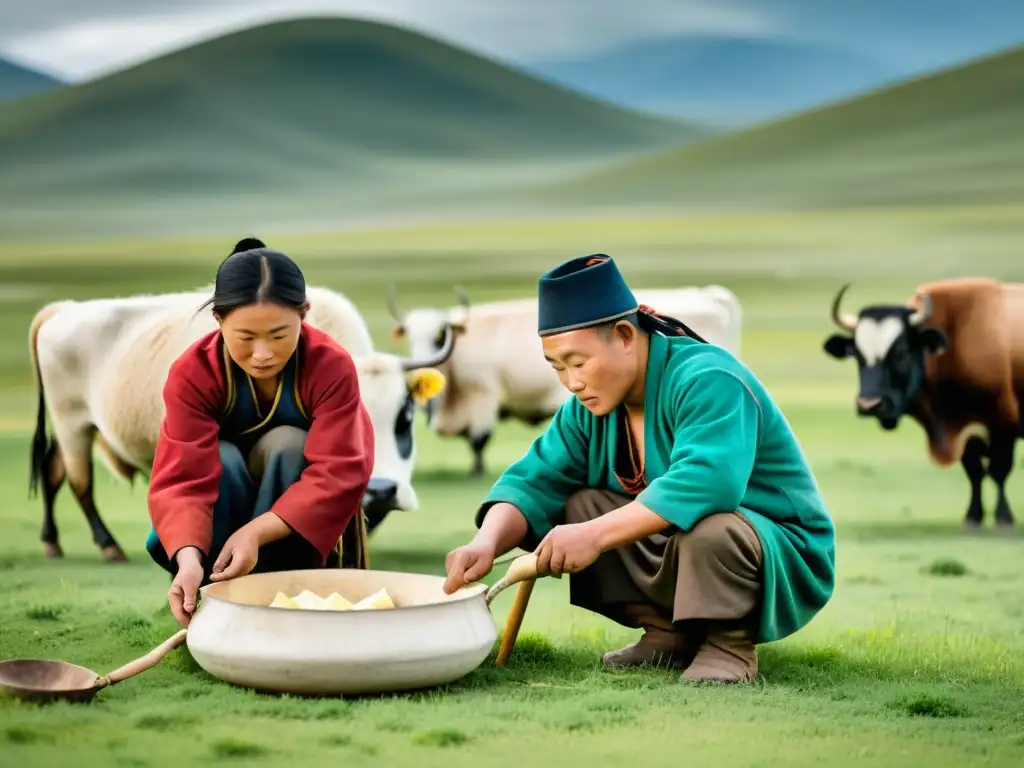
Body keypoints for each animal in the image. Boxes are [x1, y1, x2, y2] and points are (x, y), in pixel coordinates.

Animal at [29, 286, 452, 561]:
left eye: (406, 416)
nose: (381, 490)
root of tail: (60, 311)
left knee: (52, 470)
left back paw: (51, 541)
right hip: (71, 423)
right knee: (80, 481)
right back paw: (109, 546)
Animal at [387, 284, 741, 475]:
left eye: (439, 335)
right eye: (409, 337)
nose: (422, 364)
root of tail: (710, 294)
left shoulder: (484, 396)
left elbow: (479, 441)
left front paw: (477, 472)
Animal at [823, 280, 1024, 532]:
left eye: (901, 353)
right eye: (857, 355)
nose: (869, 405)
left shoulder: (1002, 425)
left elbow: (998, 470)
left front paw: (1004, 518)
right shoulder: (965, 433)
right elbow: (974, 471)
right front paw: (973, 517)